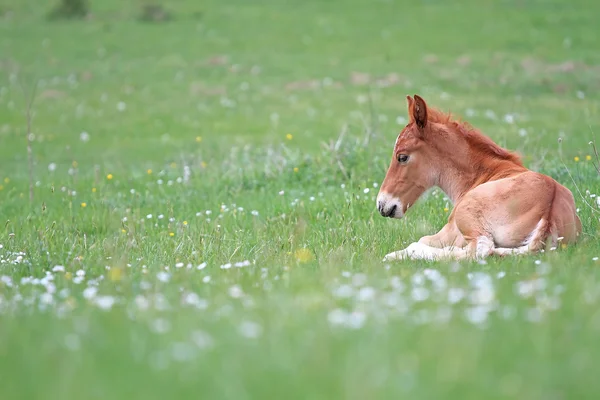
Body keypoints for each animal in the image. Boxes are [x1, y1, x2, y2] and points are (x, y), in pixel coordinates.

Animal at [380, 95, 580, 260]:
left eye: (402, 157)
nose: (382, 204)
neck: (482, 173)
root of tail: (549, 209)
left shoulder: (449, 231)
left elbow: (421, 240)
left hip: (467, 216)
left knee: (480, 249)